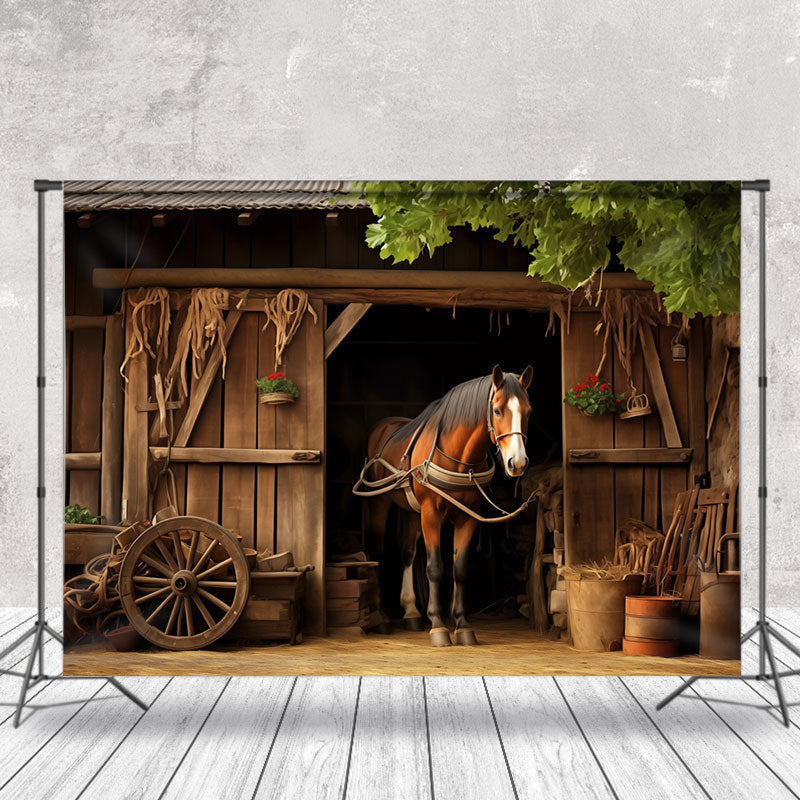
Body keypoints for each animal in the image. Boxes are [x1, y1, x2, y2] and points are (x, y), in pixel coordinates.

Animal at [358, 365, 532, 647]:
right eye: (496, 410)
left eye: (528, 411)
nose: (517, 463)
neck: (459, 458)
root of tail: (382, 427)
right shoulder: (431, 515)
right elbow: (435, 568)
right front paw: (438, 626)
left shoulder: (468, 518)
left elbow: (459, 570)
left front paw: (462, 625)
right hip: (379, 503)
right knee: (377, 552)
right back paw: (382, 618)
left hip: (410, 510)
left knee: (407, 552)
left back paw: (411, 612)